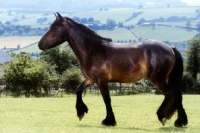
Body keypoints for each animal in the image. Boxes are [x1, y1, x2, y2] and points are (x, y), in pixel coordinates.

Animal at [38, 12, 188, 128]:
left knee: (171, 94)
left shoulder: (102, 81)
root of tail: (171, 49)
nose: (40, 44)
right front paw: (81, 112)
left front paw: (109, 121)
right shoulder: (91, 79)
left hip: (158, 79)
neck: (92, 50)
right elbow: (79, 89)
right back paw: (180, 122)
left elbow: (107, 100)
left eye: (55, 27)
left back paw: (163, 116)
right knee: (177, 94)